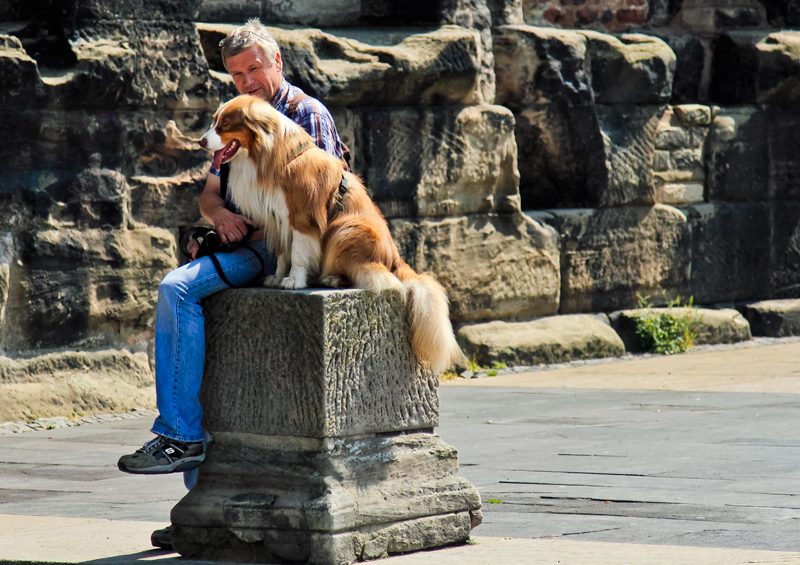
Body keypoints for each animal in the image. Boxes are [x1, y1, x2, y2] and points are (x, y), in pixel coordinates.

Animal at [200, 94, 460, 372]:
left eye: (225, 125)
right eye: (214, 121)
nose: (200, 141)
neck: (271, 156)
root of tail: (396, 260)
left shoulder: (302, 217)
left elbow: (298, 252)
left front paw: (294, 281)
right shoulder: (278, 219)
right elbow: (282, 254)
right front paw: (277, 277)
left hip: (345, 229)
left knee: (371, 277)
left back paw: (331, 279)